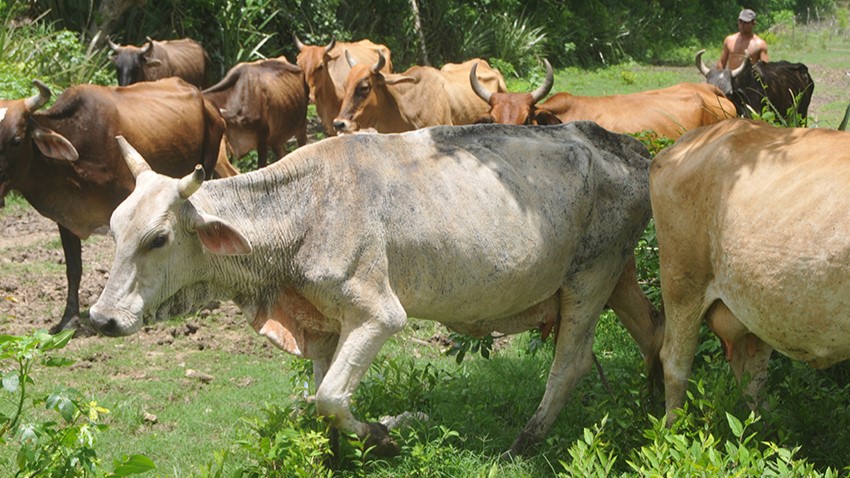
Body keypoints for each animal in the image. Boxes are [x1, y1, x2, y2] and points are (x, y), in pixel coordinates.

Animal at [91, 121, 664, 458]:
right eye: (114, 228)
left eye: (158, 238)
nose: (101, 318)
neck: (302, 209)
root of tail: (635, 150)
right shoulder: (321, 328)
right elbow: (318, 401)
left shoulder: (379, 315)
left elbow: (329, 397)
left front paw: (387, 434)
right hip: (618, 276)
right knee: (654, 334)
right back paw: (657, 409)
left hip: (591, 277)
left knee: (571, 362)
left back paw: (525, 441)